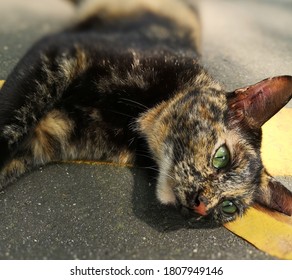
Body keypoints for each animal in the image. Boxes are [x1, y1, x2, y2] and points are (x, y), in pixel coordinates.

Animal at [0, 0, 292, 223]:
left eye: (228, 207)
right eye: (221, 157)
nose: (200, 208)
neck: (130, 122)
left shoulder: (46, 136)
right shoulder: (61, 51)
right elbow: (10, 122)